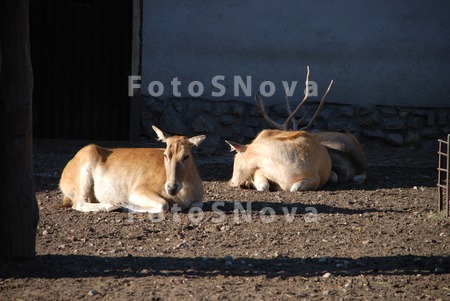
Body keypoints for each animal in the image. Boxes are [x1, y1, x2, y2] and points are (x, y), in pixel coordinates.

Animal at [59, 125, 206, 212]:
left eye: (186, 156)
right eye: (165, 154)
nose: (171, 188)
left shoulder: (198, 199)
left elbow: (197, 205)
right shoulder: (137, 191)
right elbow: (163, 205)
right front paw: (125, 205)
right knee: (78, 203)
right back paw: (112, 205)